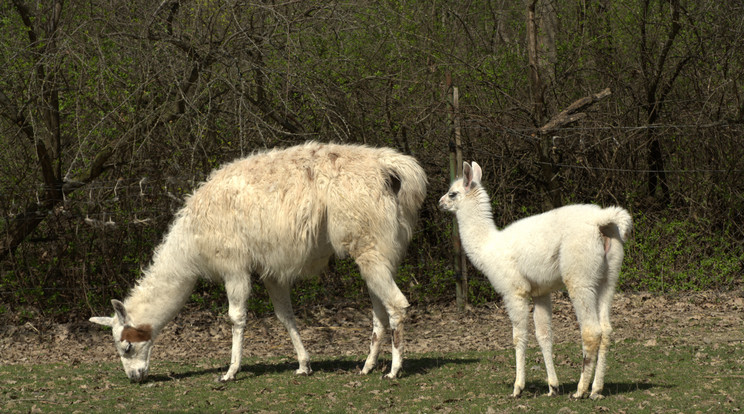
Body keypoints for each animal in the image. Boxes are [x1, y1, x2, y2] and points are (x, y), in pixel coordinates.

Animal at [90, 142, 428, 382]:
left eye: (126, 345)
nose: (134, 377)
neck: (191, 242)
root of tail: (391, 168)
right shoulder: (271, 270)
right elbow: (285, 316)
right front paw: (304, 365)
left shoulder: (233, 265)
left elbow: (236, 317)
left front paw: (229, 372)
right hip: (379, 250)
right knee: (380, 312)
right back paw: (368, 367)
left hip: (370, 245)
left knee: (397, 305)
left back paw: (394, 371)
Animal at [442, 161, 632, 398]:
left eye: (452, 193)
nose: (440, 203)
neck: (488, 246)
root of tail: (602, 220)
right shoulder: (541, 291)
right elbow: (544, 336)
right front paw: (553, 386)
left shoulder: (514, 291)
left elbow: (519, 336)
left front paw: (517, 387)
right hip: (609, 276)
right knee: (606, 330)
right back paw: (596, 389)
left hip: (580, 275)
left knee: (591, 331)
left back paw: (580, 391)